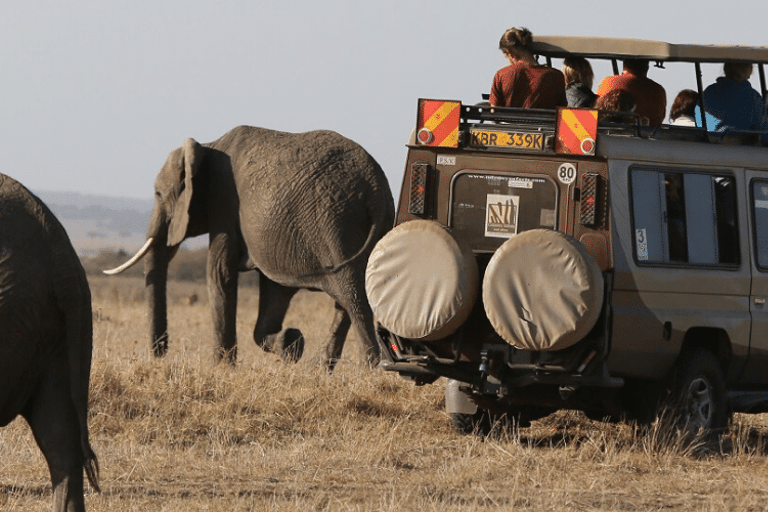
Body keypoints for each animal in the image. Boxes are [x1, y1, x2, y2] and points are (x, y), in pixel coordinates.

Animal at [106, 126, 396, 370]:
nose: (160, 355)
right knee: (347, 296)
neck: (207, 147)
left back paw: (370, 369)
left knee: (351, 294)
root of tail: (376, 188)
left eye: (158, 194)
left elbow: (219, 274)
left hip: (335, 225)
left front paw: (221, 368)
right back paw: (320, 369)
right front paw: (291, 343)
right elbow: (274, 292)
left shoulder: (223, 202)